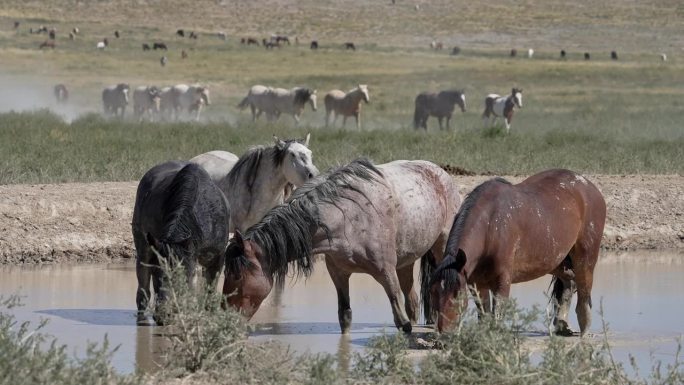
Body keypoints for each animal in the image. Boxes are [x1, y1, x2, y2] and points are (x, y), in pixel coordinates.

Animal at [131, 160, 232, 324]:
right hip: (143, 248)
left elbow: (209, 292)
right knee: (143, 290)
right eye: (158, 275)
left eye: (182, 275)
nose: (163, 315)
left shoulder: (217, 257)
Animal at [223, 158, 460, 332]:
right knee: (412, 302)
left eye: (237, 275)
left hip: (440, 248)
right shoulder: (339, 273)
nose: (225, 316)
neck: (346, 217)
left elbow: (403, 324)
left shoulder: (386, 272)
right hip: (405, 262)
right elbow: (345, 317)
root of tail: (440, 173)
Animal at [430, 170, 608, 334]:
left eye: (456, 294)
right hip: (557, 262)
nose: (444, 332)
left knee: (583, 294)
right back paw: (562, 325)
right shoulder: (477, 283)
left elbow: (497, 315)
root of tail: (590, 187)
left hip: (585, 258)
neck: (490, 225)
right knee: (569, 284)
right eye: (434, 292)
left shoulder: (502, 281)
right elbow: (484, 316)